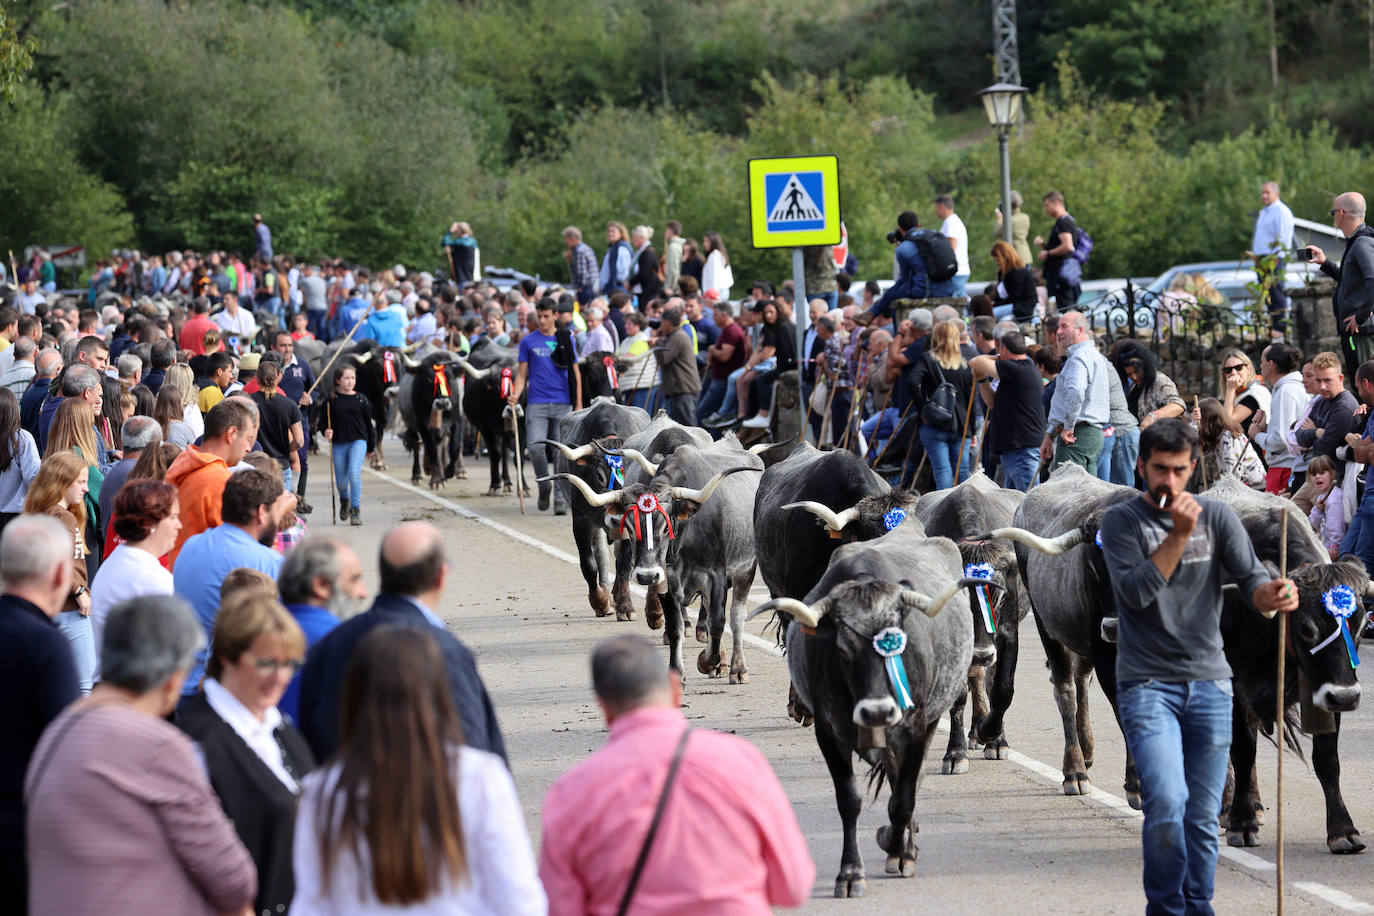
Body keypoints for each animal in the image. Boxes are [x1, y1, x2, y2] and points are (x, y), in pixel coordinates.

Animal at [752, 527, 989, 900]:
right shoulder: (829, 733)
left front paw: (900, 850)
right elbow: (850, 800)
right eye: (842, 649)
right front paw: (851, 872)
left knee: (909, 783)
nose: (878, 711)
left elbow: (903, 797)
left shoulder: (916, 728)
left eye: (898, 642)